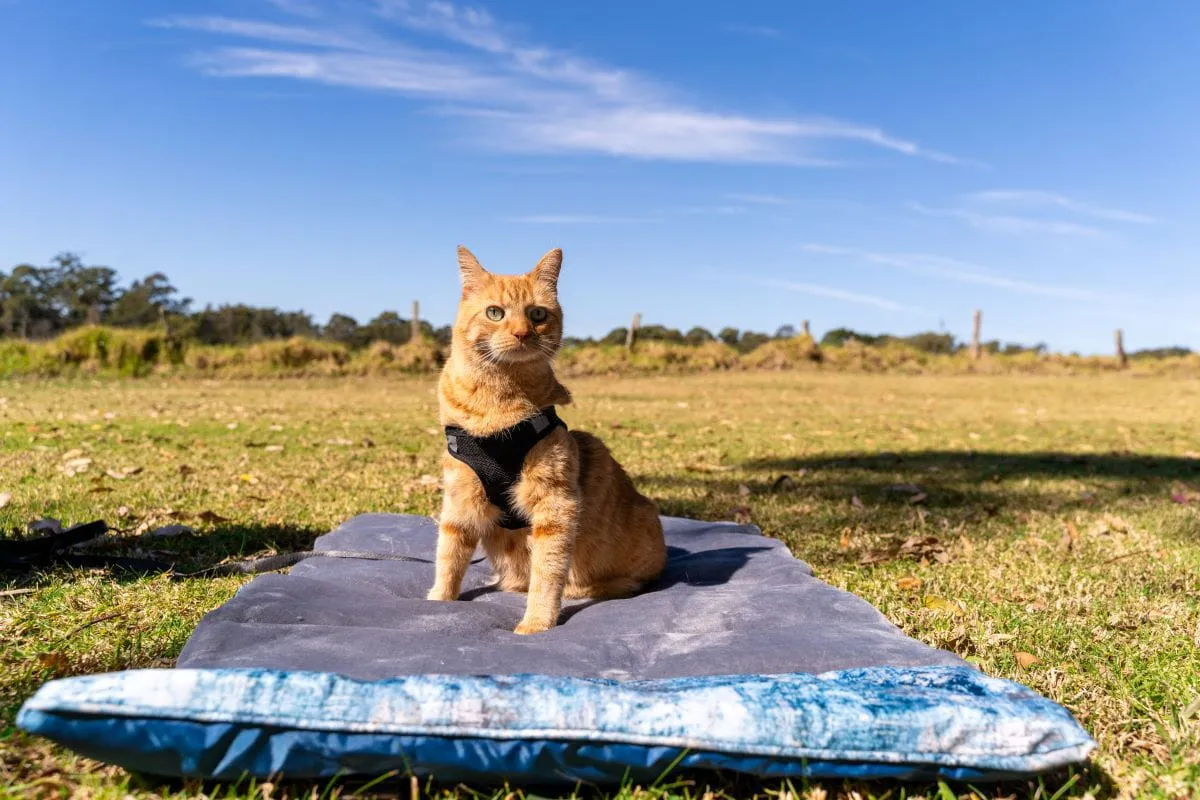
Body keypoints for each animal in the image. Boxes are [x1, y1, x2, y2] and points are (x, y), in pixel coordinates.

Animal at [427, 247, 667, 633]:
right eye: (495, 313)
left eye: (537, 314)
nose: (523, 333)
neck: (497, 411)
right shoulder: (459, 500)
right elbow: (449, 555)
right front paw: (438, 600)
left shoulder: (555, 506)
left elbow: (547, 572)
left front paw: (536, 623)